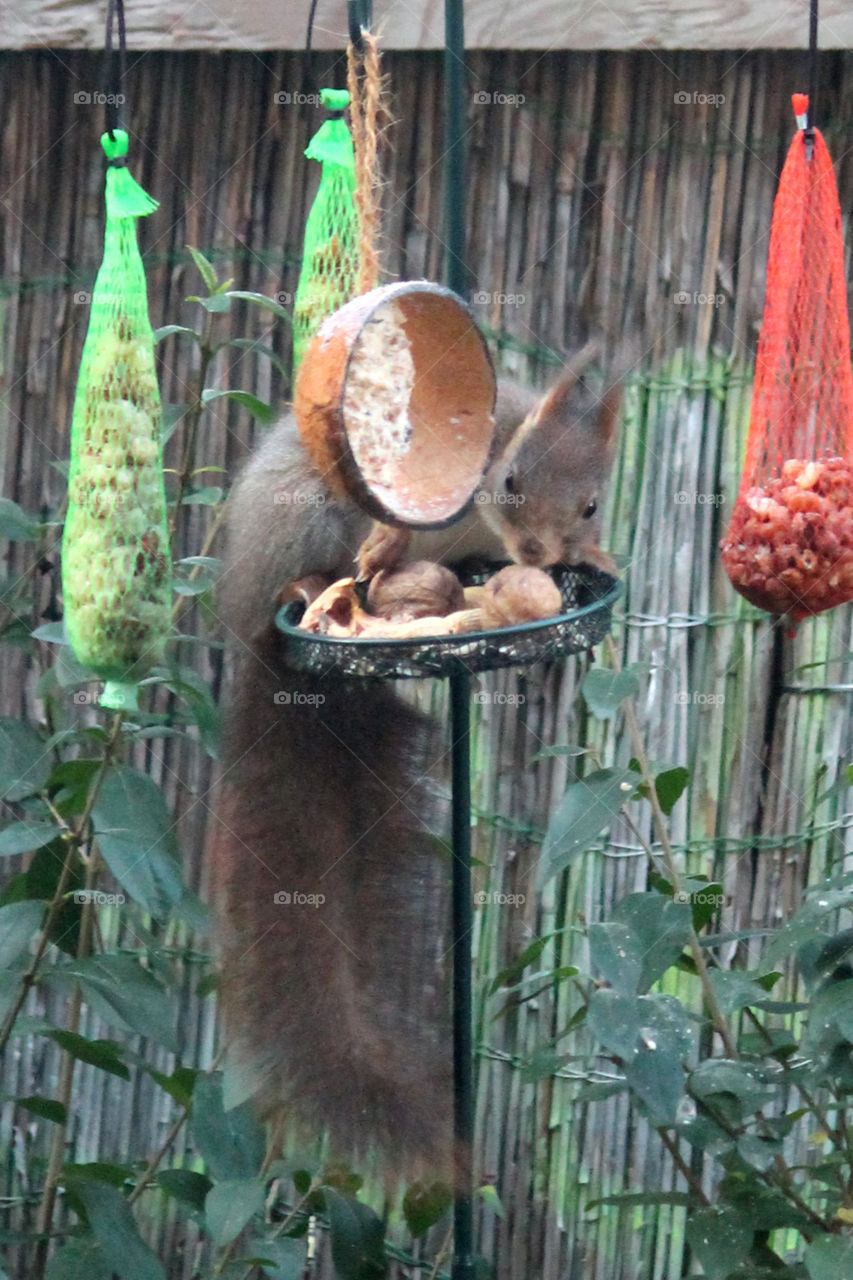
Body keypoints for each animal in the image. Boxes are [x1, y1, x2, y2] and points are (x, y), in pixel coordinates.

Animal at [210, 345, 622, 1183]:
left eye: (592, 506)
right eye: (510, 481)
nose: (536, 553)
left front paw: (593, 555)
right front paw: (385, 547)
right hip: (302, 519)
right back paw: (314, 585)